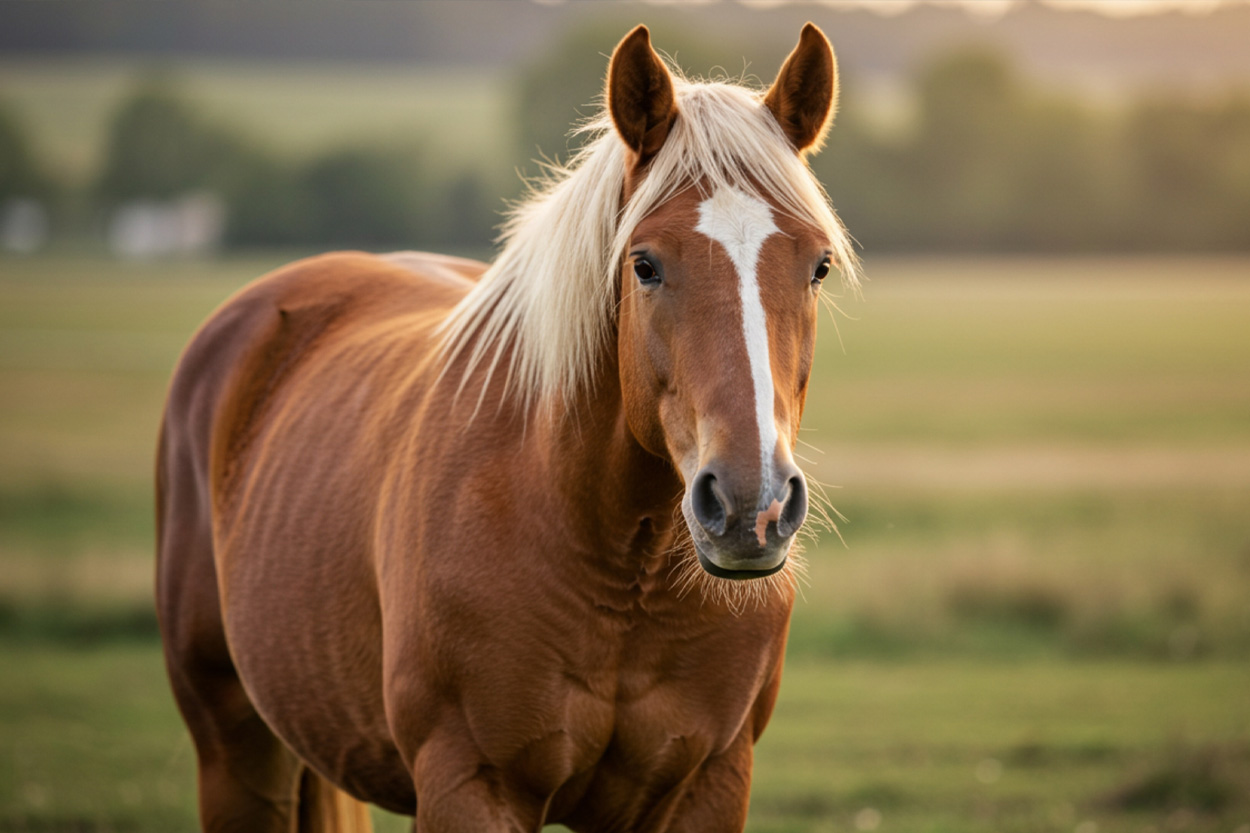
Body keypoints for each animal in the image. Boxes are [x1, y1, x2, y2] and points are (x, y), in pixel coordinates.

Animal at [156, 22, 859, 833]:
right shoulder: (470, 782)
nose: (751, 507)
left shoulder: (709, 783)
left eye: (818, 266)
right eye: (645, 265)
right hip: (235, 749)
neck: (624, 565)